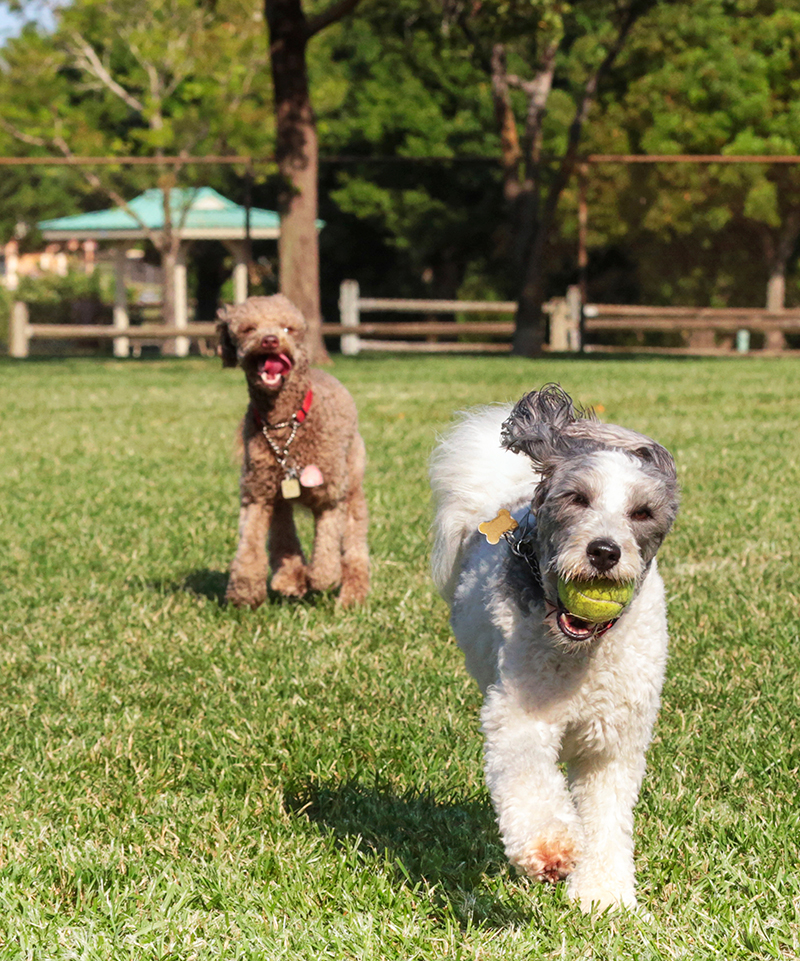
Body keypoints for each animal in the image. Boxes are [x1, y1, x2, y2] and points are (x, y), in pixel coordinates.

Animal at [217, 294, 370, 608]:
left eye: (288, 329)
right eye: (248, 329)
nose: (270, 340)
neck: (284, 424)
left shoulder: (330, 493)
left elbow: (327, 541)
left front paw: (322, 577)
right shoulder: (260, 492)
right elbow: (253, 541)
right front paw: (248, 589)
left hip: (352, 481)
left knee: (354, 539)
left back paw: (352, 595)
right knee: (282, 531)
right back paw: (291, 577)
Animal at [432, 384, 680, 916]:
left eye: (642, 513)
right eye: (577, 498)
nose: (604, 551)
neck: (580, 654)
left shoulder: (613, 742)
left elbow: (607, 816)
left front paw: (603, 896)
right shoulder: (519, 715)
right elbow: (529, 778)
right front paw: (551, 850)